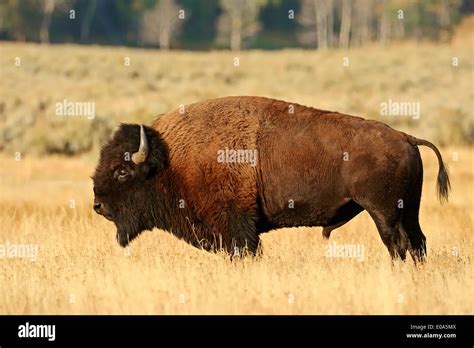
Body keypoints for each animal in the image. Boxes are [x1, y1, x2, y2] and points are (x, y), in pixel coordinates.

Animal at [91, 96, 448, 260]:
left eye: (121, 171)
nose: (98, 205)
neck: (171, 160)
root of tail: (405, 137)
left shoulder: (237, 226)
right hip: (408, 210)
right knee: (417, 242)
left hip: (383, 212)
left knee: (397, 244)